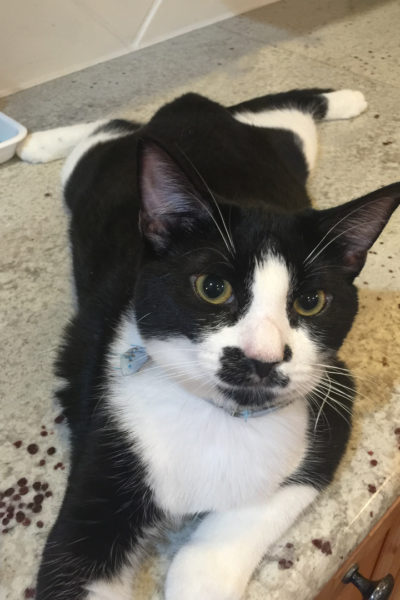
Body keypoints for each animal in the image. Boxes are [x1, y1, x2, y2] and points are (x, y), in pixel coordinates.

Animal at [18, 88, 400, 600]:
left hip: (284, 156)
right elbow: (74, 558)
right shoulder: (106, 451)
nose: (263, 357)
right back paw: (37, 142)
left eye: (311, 301)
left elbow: (228, 539)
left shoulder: (330, 408)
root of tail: (193, 107)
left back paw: (343, 98)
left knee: (282, 119)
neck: (221, 419)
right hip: (97, 184)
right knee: (101, 141)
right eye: (212, 288)